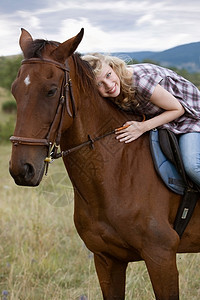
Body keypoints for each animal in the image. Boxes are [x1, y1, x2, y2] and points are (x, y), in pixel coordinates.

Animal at [9, 28, 200, 300]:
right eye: (15, 90)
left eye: (51, 91)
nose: (22, 169)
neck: (117, 170)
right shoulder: (106, 259)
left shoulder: (161, 255)